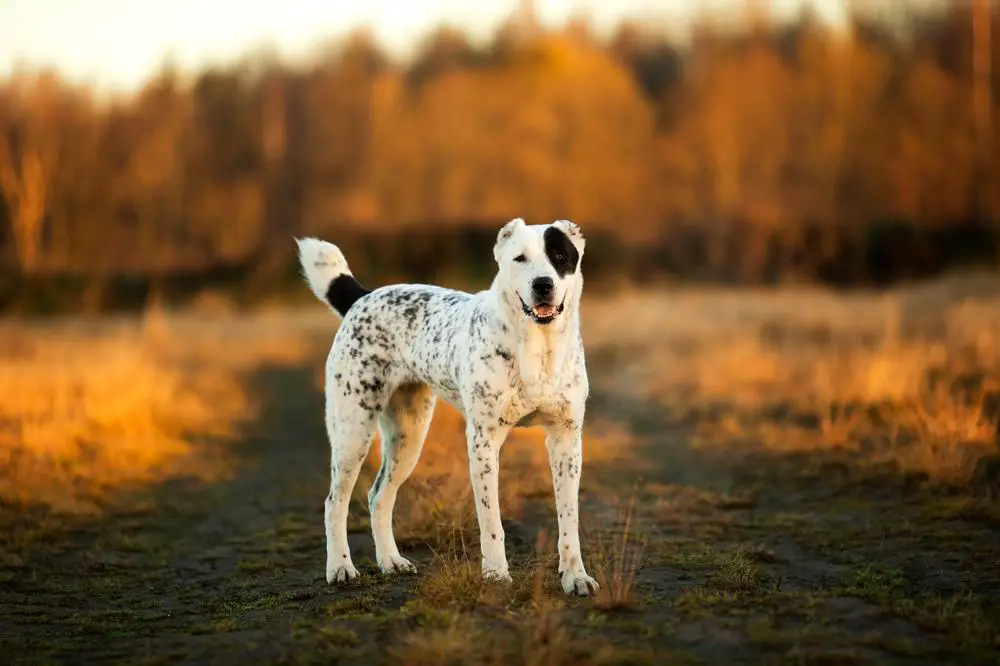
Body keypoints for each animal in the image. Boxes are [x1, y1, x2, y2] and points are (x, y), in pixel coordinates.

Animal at [292, 218, 596, 596]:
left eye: (560, 256)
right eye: (520, 258)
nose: (543, 285)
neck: (538, 348)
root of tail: (362, 296)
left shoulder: (566, 440)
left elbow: (568, 518)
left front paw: (575, 576)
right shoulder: (483, 442)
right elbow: (491, 520)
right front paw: (496, 575)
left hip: (408, 437)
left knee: (379, 496)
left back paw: (391, 561)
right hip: (353, 433)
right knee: (335, 502)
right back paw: (340, 568)